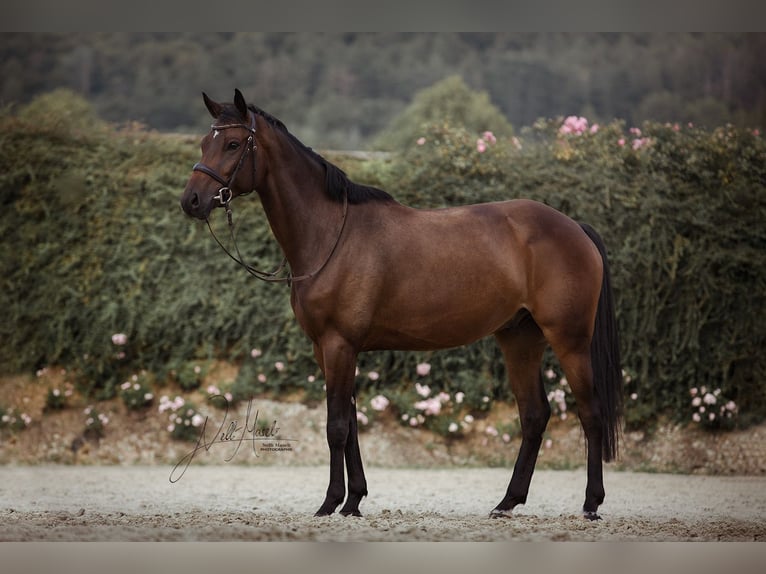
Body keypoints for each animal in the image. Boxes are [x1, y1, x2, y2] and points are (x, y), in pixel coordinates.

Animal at [182, 89, 624, 520]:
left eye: (233, 143)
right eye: (205, 141)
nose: (191, 200)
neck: (332, 234)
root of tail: (574, 226)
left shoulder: (339, 344)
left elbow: (336, 427)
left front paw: (330, 502)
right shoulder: (329, 349)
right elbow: (351, 424)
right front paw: (354, 501)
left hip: (569, 340)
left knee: (590, 413)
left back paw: (591, 504)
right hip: (520, 339)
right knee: (534, 416)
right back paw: (507, 502)